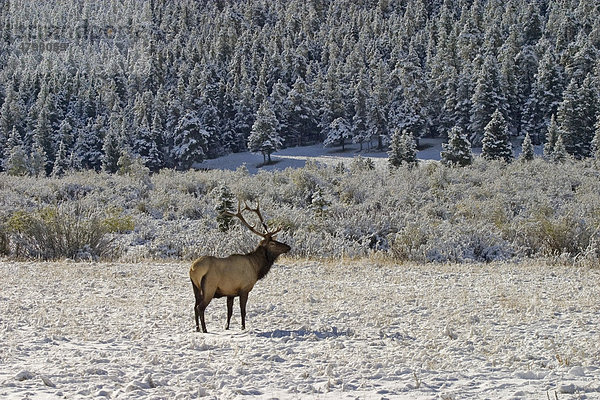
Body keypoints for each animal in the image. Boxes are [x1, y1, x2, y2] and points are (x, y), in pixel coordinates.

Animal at [189, 202, 290, 332]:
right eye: (273, 243)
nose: (288, 247)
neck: (256, 268)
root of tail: (193, 269)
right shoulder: (244, 289)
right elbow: (243, 310)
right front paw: (243, 327)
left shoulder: (230, 293)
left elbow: (229, 312)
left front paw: (226, 327)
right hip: (209, 287)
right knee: (200, 307)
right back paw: (205, 329)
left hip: (195, 287)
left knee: (194, 306)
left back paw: (197, 328)